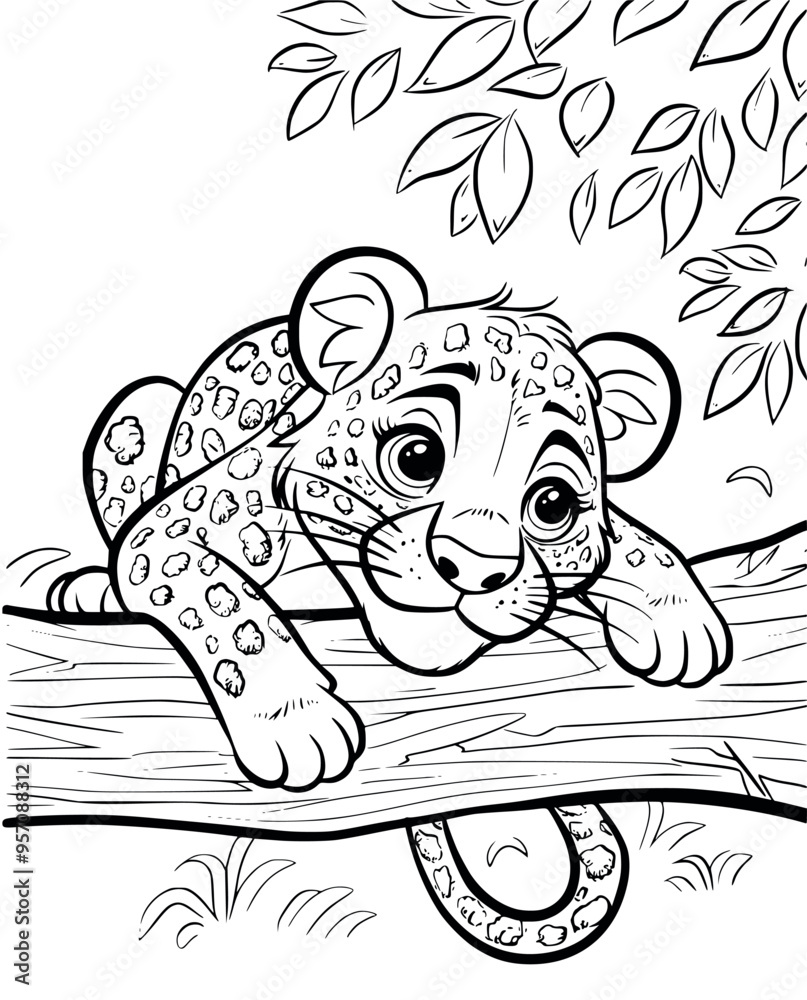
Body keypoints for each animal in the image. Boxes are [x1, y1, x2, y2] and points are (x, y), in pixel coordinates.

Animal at [51, 247, 732, 798]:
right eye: (417, 456)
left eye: (552, 505)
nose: (476, 568)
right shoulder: (170, 530)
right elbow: (227, 606)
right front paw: (297, 719)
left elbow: (628, 537)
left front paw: (683, 616)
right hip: (137, 408)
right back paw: (87, 592)